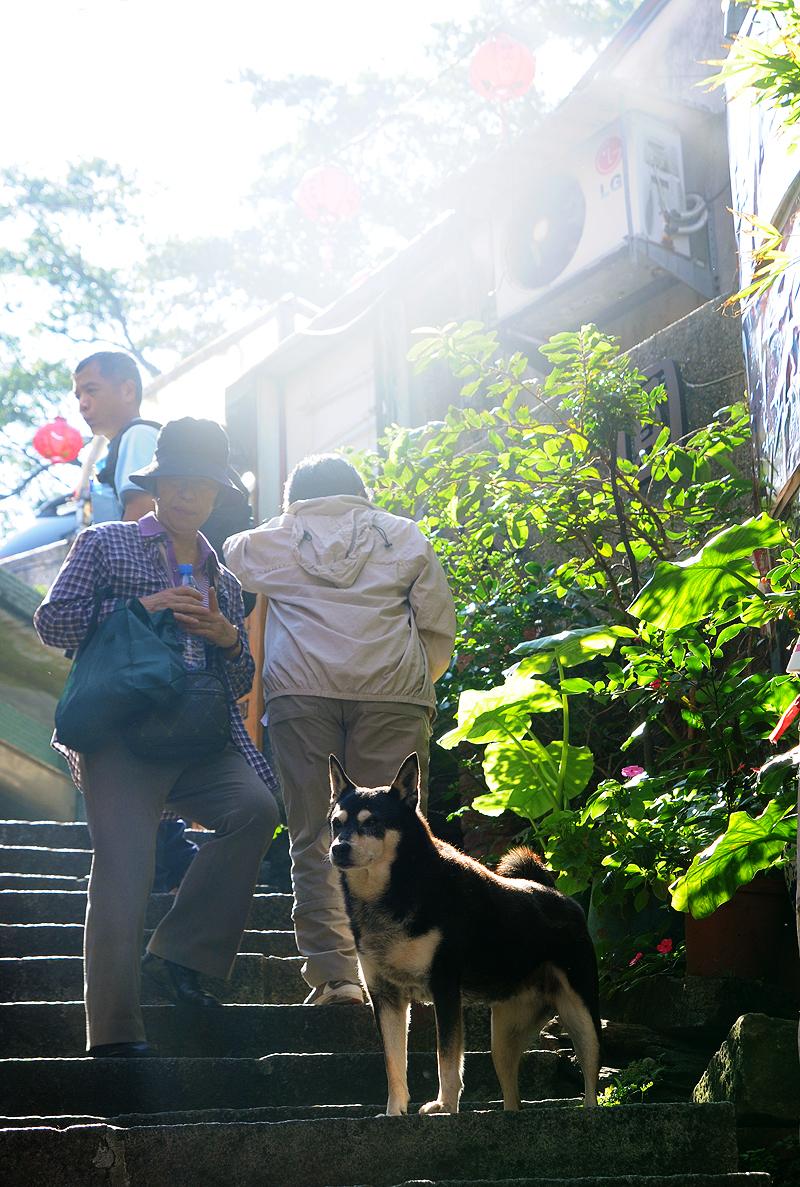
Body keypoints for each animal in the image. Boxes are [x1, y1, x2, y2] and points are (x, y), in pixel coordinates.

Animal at [327, 751, 601, 1117]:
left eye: (372, 823)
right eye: (336, 823)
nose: (338, 848)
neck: (394, 891)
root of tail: (562, 897)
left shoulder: (445, 988)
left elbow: (446, 1059)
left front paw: (444, 1105)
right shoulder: (386, 997)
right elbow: (394, 1064)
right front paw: (394, 1112)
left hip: (581, 1016)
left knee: (591, 1080)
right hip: (504, 1037)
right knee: (512, 1093)